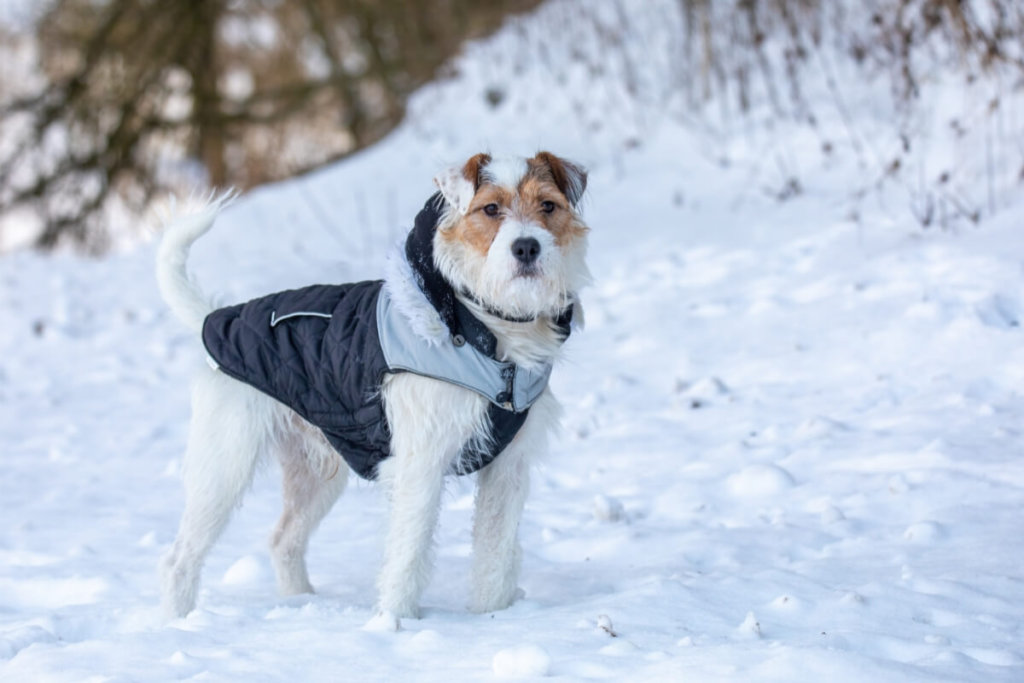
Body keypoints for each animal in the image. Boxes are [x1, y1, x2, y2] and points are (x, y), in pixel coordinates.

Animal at [158, 152, 593, 626]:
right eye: (491, 209)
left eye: (548, 206)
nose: (526, 247)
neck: (485, 330)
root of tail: (214, 316)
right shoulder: (420, 465)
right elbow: (408, 553)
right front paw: (393, 623)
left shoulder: (508, 468)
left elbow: (495, 551)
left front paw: (492, 616)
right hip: (225, 466)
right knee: (180, 557)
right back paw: (177, 621)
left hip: (314, 473)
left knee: (283, 540)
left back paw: (301, 603)